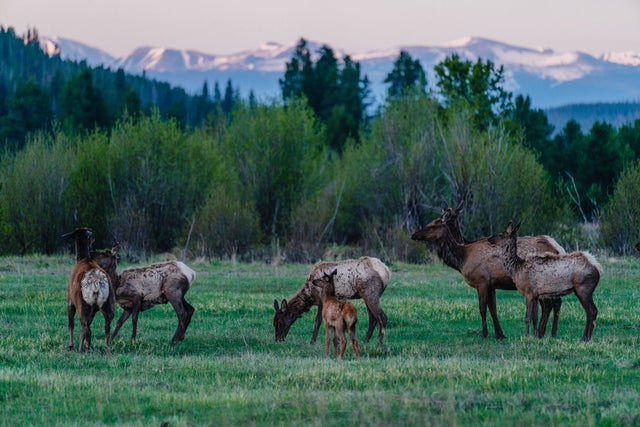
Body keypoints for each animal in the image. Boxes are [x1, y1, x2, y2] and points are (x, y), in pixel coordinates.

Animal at [411, 200, 565, 339]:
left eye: (433, 225)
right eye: (431, 222)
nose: (414, 235)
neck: (462, 258)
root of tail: (559, 249)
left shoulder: (482, 282)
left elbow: (482, 309)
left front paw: (485, 334)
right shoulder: (491, 284)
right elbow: (493, 309)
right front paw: (500, 334)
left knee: (550, 304)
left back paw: (543, 333)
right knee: (555, 303)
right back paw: (549, 333)